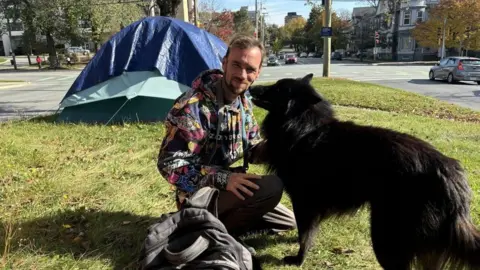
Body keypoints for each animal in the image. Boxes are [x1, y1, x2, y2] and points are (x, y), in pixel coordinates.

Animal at [248, 73, 480, 268]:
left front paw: (298, 259)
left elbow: (305, 235)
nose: (250, 87)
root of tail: (449, 171)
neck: (303, 127)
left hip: (384, 235)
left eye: (278, 88)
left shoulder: (304, 202)